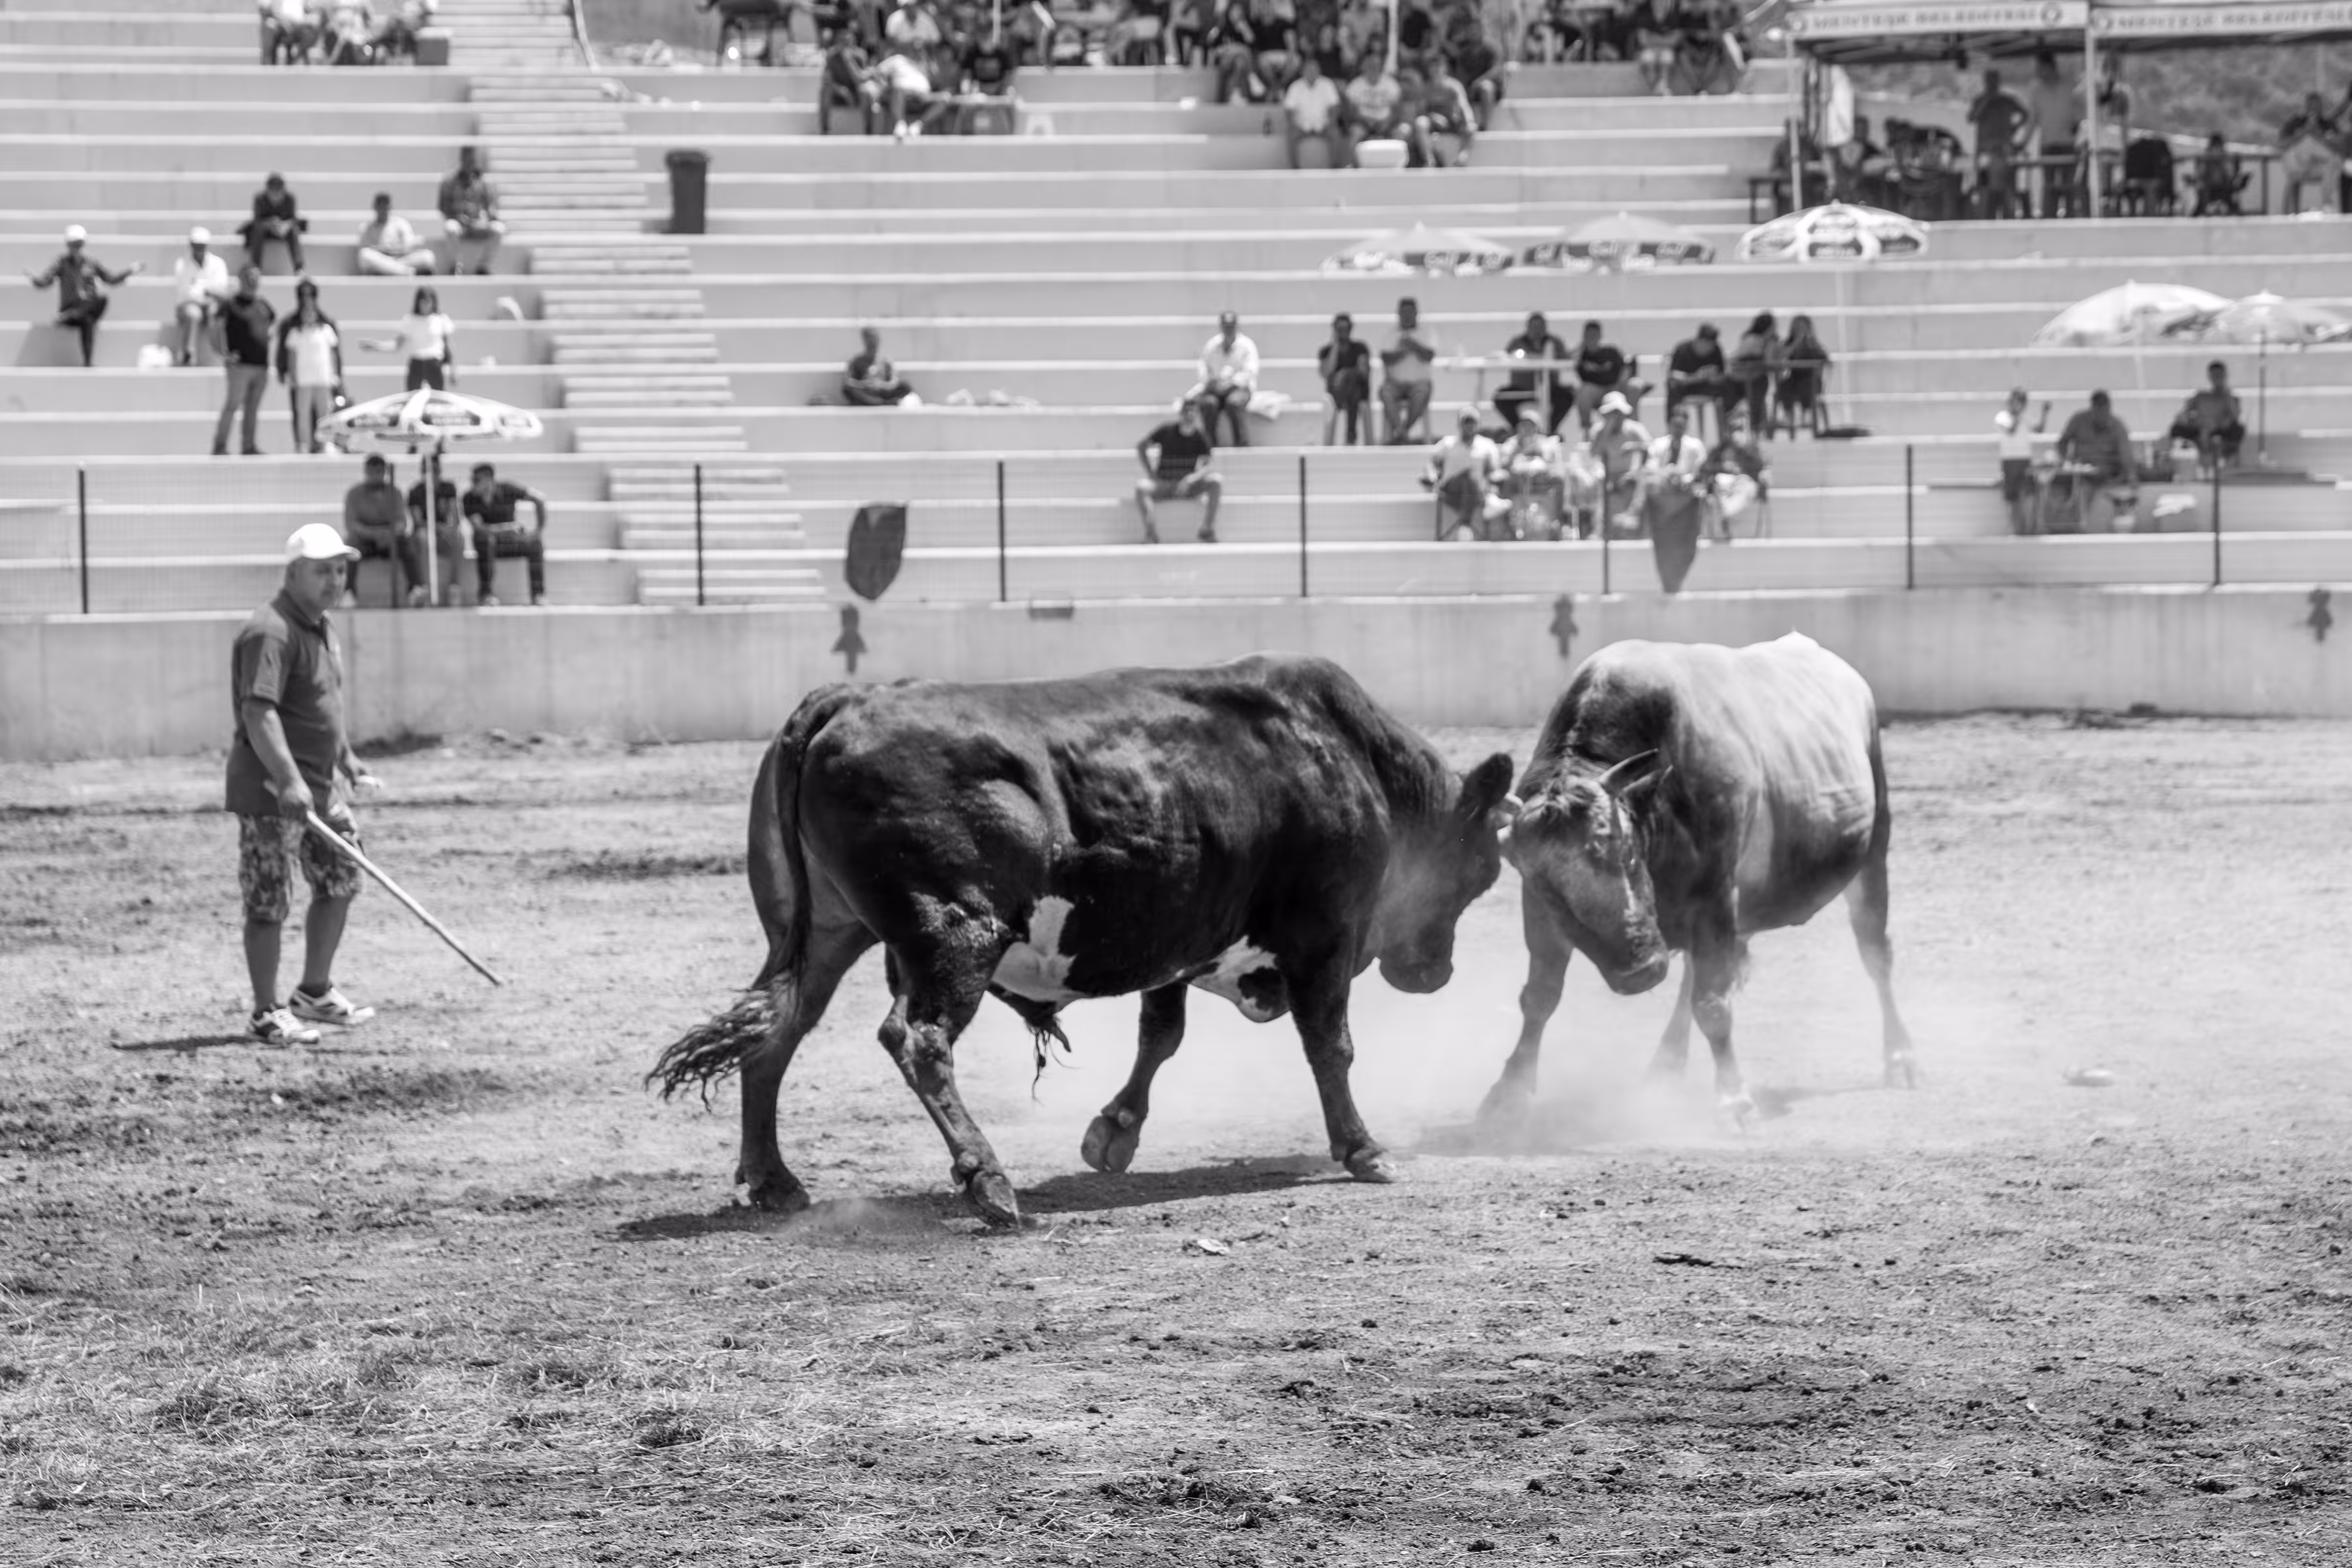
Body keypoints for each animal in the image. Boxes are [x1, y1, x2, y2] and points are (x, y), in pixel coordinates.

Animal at [650, 654, 1516, 1229]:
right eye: (1482, 870)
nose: (1433, 975)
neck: (1346, 758)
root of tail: (844, 697)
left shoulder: (1180, 933)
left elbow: (1160, 1035)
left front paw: (1114, 1132)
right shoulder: (1325, 936)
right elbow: (1331, 1046)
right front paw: (1364, 1150)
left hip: (825, 933)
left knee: (776, 1033)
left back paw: (774, 1180)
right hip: (956, 935)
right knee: (918, 1039)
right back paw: (989, 1183)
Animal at [1479, 633, 1916, 1124]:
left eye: (1628, 853)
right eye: (1551, 892)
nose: (1641, 973)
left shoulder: (1716, 896)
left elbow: (1712, 1003)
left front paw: (1734, 1097)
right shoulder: (1539, 916)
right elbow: (1539, 997)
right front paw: (1508, 1090)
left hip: (1872, 855)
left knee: (1876, 954)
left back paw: (1900, 1056)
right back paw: (1665, 1065)